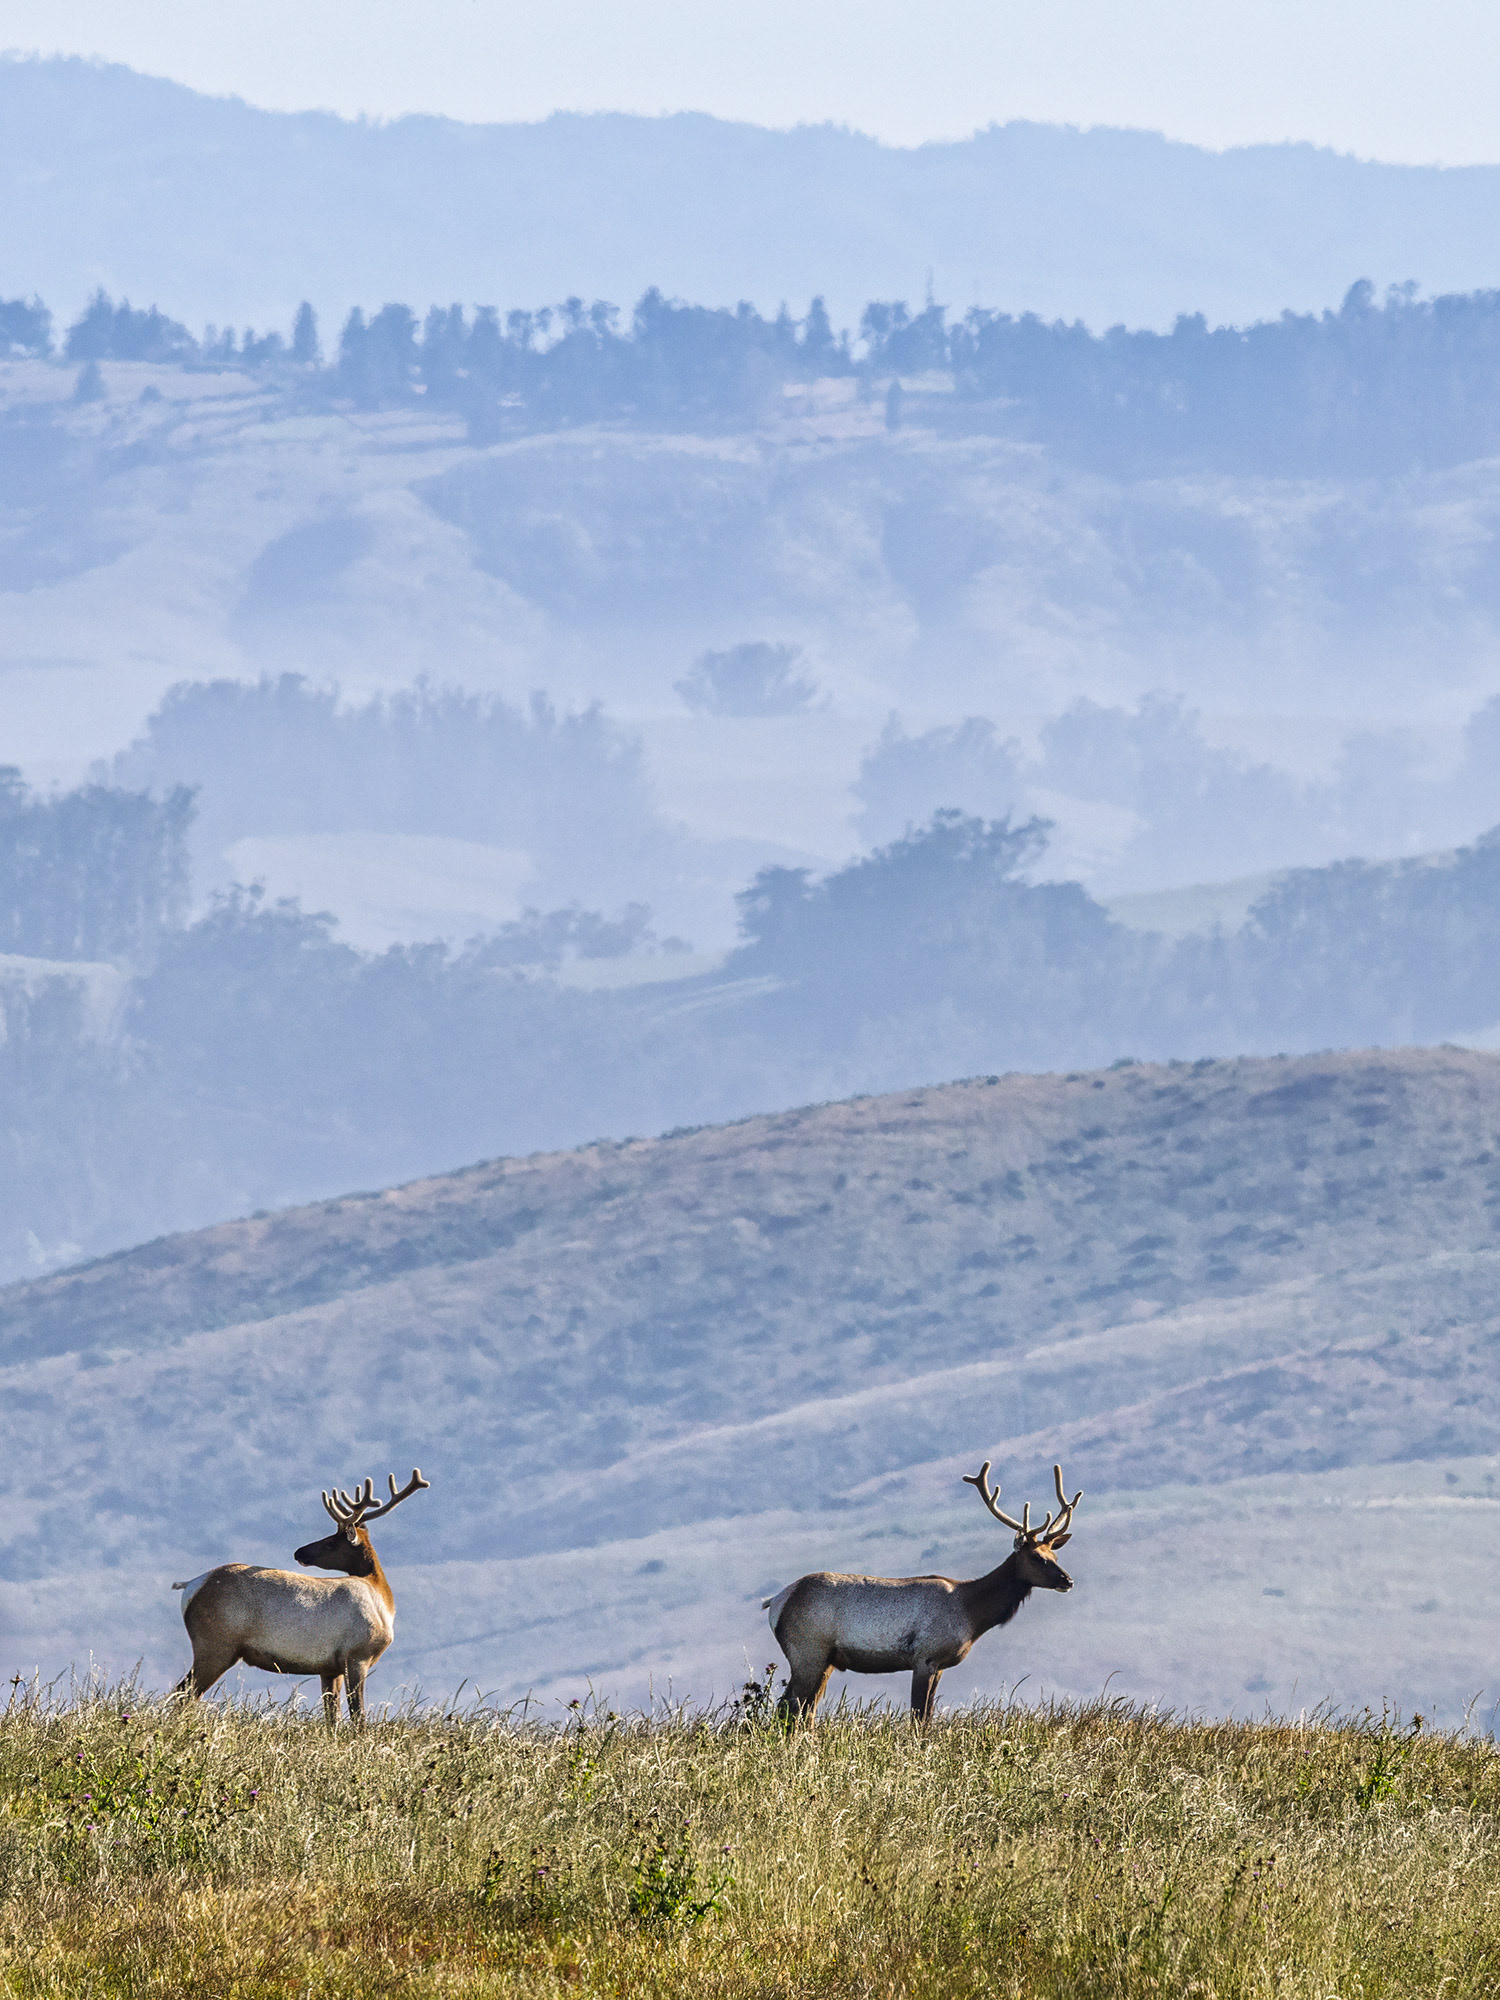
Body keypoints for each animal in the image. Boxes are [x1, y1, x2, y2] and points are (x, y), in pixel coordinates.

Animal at [171, 1469, 430, 1728]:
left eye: (331, 1542)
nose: (299, 1552)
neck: (383, 1601)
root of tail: (191, 1586)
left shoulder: (330, 1667)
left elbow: (332, 1717)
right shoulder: (357, 1656)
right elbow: (358, 1717)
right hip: (215, 1645)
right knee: (182, 1693)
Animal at [763, 1459, 1081, 1722]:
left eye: (1054, 1555)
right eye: (1036, 1557)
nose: (1067, 1580)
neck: (971, 1614)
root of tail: (776, 1602)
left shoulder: (939, 1665)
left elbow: (927, 1716)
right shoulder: (925, 1656)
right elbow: (918, 1717)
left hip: (826, 1660)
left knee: (805, 1710)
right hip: (807, 1651)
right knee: (788, 1706)